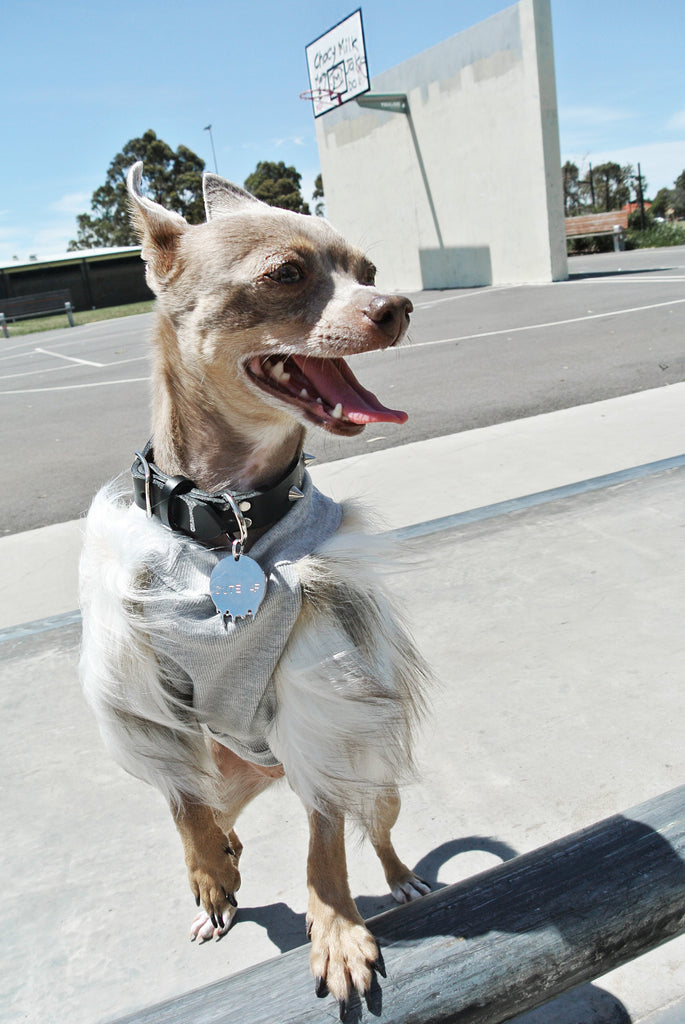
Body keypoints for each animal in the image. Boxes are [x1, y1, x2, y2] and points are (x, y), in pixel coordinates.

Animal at [78, 163, 427, 1011]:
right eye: (286, 275)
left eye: (368, 271)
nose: (394, 304)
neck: (227, 516)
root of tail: (268, 770)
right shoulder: (140, 686)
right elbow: (180, 808)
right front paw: (208, 874)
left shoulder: (319, 695)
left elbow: (323, 846)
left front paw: (334, 926)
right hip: (224, 771)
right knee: (207, 803)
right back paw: (221, 865)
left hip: (362, 770)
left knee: (367, 824)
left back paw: (398, 877)